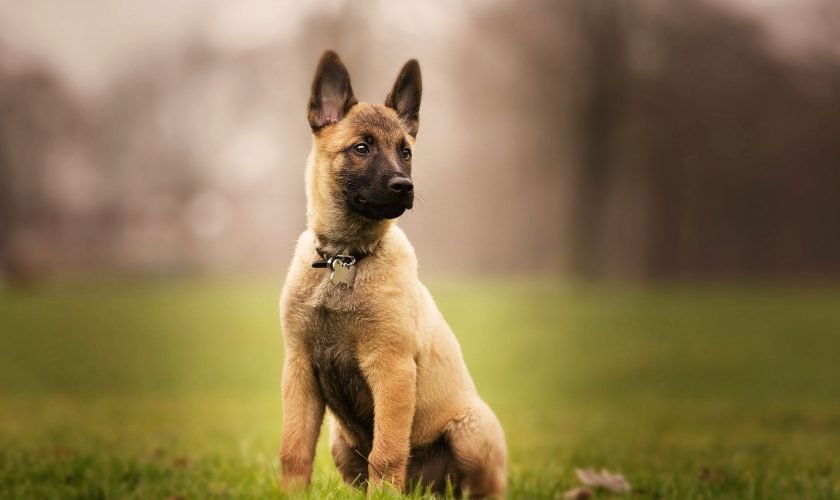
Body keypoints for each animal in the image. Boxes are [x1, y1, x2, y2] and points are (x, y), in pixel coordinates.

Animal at [280, 49, 506, 496]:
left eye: (406, 151)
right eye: (361, 148)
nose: (405, 186)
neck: (345, 259)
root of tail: (428, 488)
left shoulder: (392, 368)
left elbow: (386, 453)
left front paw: (384, 494)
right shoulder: (299, 368)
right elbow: (293, 450)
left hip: (471, 430)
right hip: (340, 442)